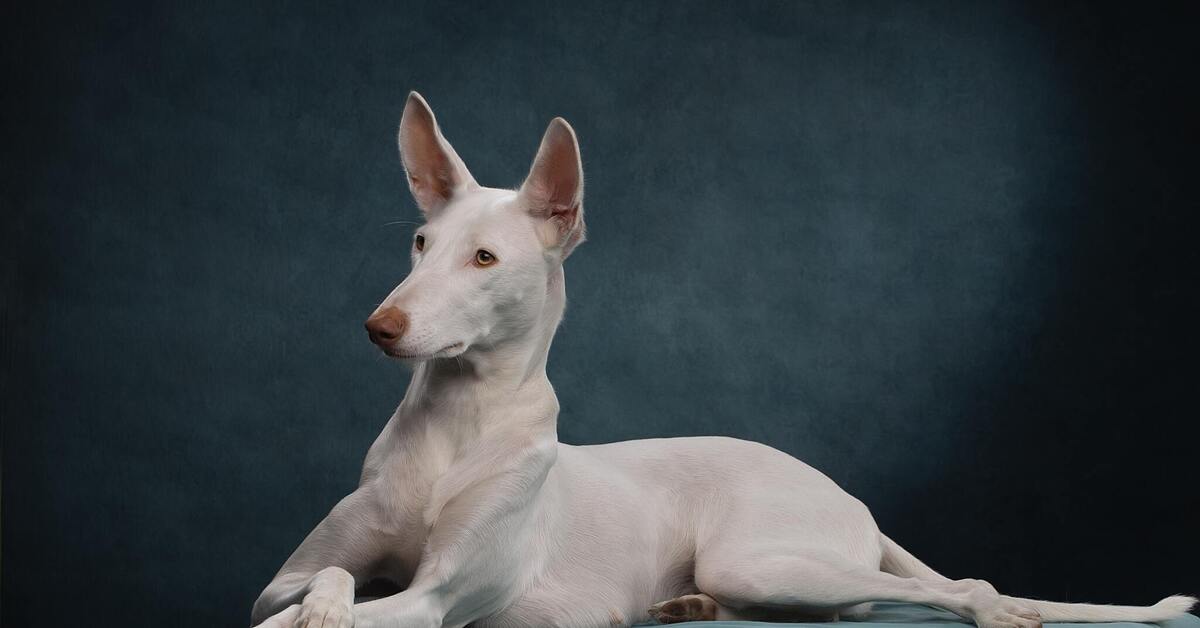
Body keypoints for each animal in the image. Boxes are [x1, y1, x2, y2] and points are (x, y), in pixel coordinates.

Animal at [250, 93, 1190, 628]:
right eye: (420, 243)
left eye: (483, 258)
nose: (379, 325)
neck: (458, 422)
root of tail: (844, 494)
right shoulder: (284, 575)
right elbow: (320, 576)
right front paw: (327, 603)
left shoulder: (442, 597)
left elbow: (358, 605)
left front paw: (328, 616)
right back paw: (685, 605)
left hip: (769, 557)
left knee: (944, 587)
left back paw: (999, 611)